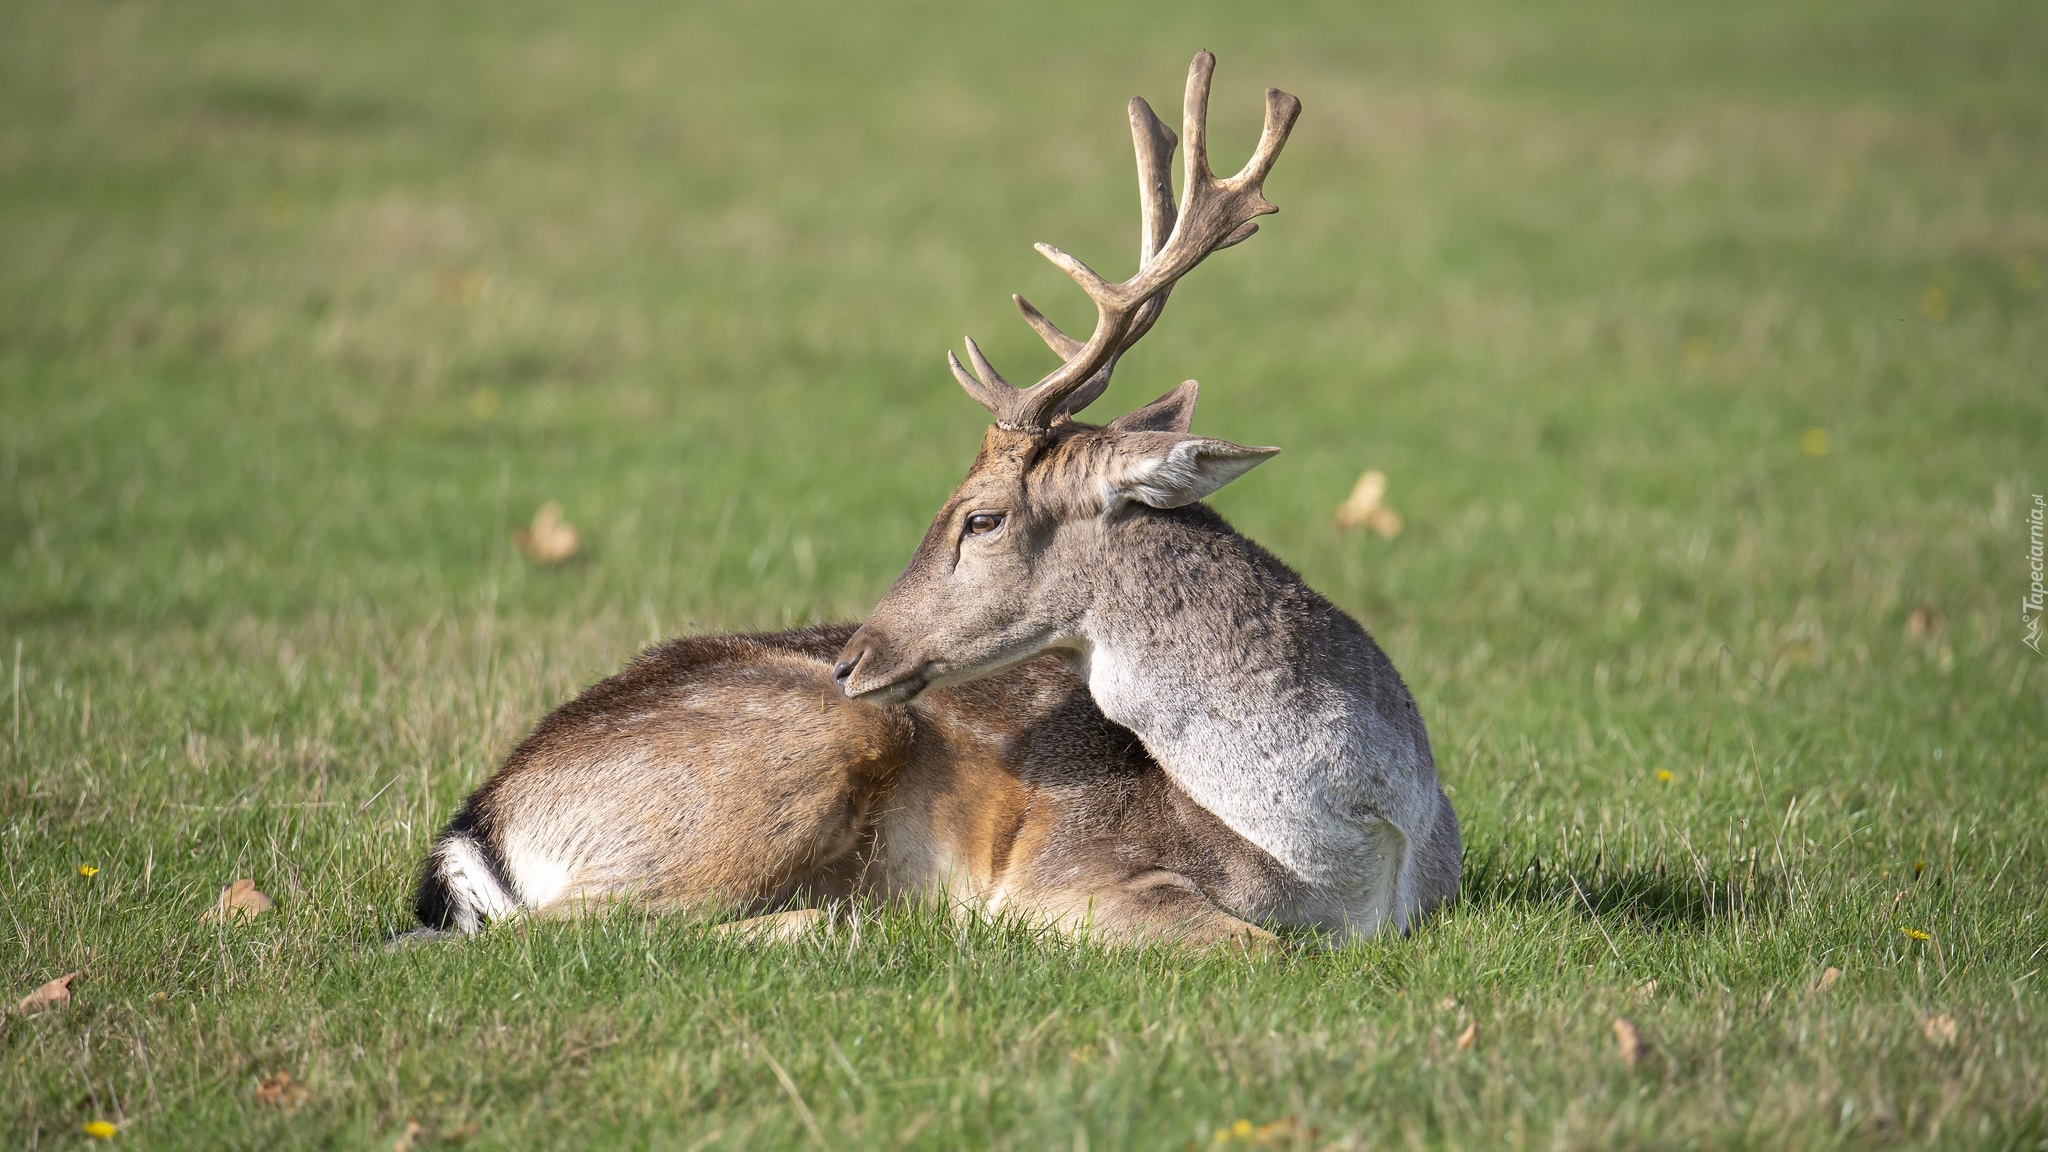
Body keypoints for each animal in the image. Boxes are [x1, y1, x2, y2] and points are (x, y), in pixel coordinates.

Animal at [407, 53, 1449, 947]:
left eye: (981, 517)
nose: (854, 657)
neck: (1352, 851)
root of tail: (481, 820)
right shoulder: (1069, 871)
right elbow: (1258, 949)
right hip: (814, 743)